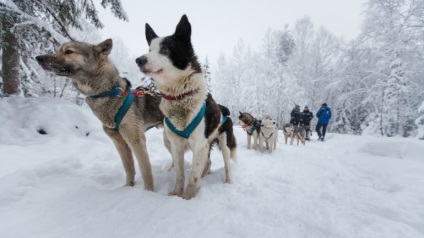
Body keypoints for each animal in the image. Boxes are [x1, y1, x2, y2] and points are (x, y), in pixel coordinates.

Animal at [36, 39, 164, 192]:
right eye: (58, 50)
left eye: (68, 51)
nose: (39, 58)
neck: (108, 92)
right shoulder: (119, 142)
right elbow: (128, 168)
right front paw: (127, 188)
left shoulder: (136, 140)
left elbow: (146, 171)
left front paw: (148, 192)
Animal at [136, 14, 237, 200]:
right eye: (149, 49)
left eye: (165, 48)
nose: (139, 60)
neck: (180, 96)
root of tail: (224, 108)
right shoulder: (177, 145)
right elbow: (180, 174)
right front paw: (176, 192)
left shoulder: (199, 144)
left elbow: (192, 177)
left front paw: (187, 197)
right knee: (208, 161)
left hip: (224, 144)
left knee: (226, 164)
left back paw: (228, 180)